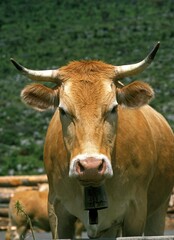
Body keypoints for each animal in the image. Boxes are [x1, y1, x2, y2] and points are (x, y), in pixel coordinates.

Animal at [10, 42, 174, 239]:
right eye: (63, 110)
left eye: (114, 108)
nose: (91, 167)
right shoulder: (56, 211)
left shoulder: (136, 211)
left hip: (158, 211)